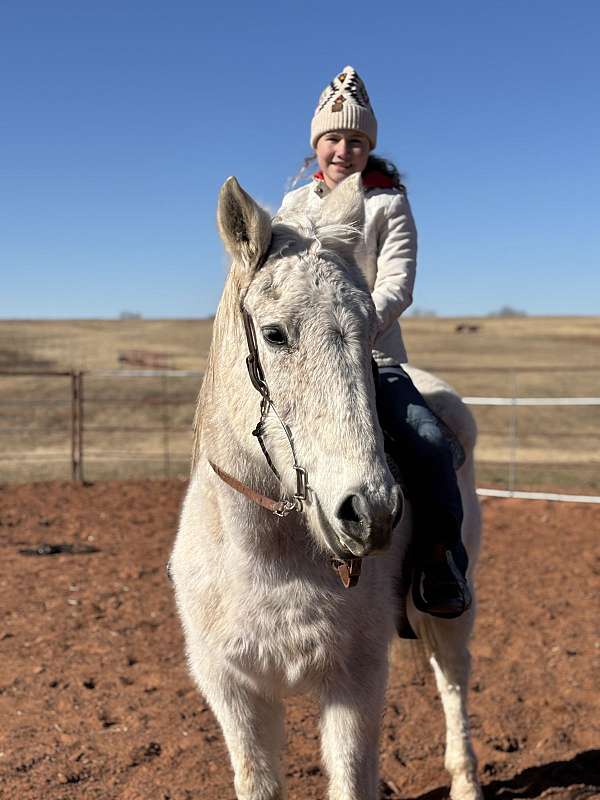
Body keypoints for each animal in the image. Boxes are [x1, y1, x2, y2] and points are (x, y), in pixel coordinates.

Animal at [170, 173, 483, 800]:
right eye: (274, 334)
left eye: (368, 331)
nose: (370, 510)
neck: (265, 558)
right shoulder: (234, 691)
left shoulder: (353, 682)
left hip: (452, 610)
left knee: (453, 679)